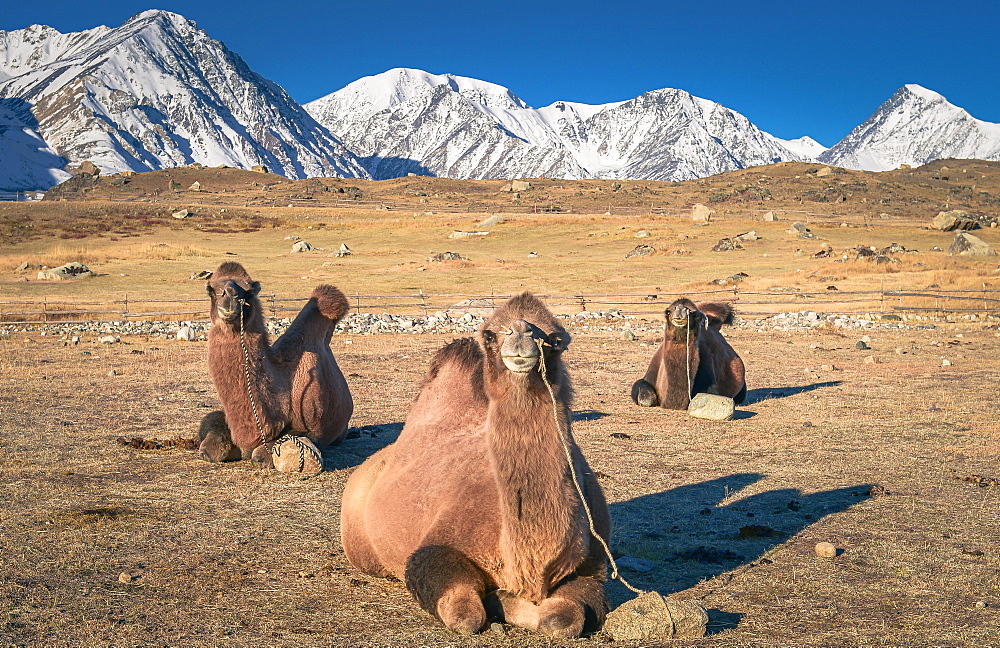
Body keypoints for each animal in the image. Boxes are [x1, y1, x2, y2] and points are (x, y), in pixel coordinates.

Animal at [197, 260, 354, 468]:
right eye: (211, 290)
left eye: (249, 290)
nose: (230, 298)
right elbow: (209, 441)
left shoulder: (313, 427)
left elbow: (262, 453)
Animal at [342, 294, 608, 636]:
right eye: (490, 335)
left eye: (554, 339)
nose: (520, 332)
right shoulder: (435, 549)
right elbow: (466, 616)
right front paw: (497, 599)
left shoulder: (593, 565)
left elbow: (563, 620)